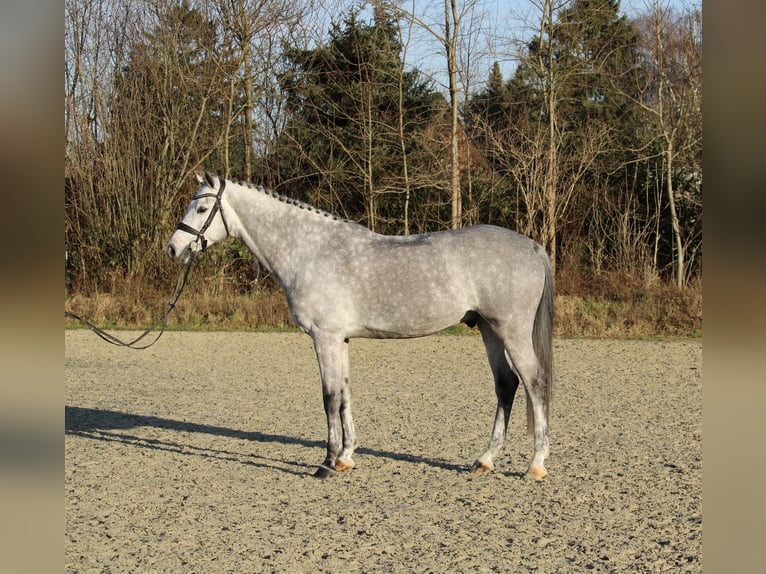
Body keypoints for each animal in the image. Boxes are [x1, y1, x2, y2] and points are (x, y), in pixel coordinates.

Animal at [166, 172, 554, 480]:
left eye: (201, 208)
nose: (173, 248)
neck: (311, 251)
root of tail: (532, 246)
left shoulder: (324, 337)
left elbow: (329, 397)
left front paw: (326, 463)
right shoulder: (340, 339)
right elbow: (345, 394)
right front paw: (345, 457)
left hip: (511, 330)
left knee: (534, 383)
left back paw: (535, 464)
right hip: (488, 329)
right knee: (506, 385)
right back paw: (485, 460)